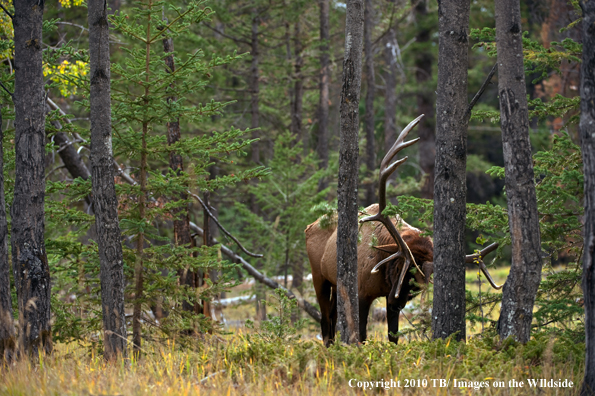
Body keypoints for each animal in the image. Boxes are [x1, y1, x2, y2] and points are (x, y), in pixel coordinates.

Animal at [308, 115, 502, 346]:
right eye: (401, 268)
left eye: (418, 285)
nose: (396, 301)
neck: (383, 270)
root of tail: (310, 225)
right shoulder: (362, 292)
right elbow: (361, 336)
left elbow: (393, 337)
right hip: (319, 277)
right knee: (325, 321)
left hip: (337, 285)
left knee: (332, 317)